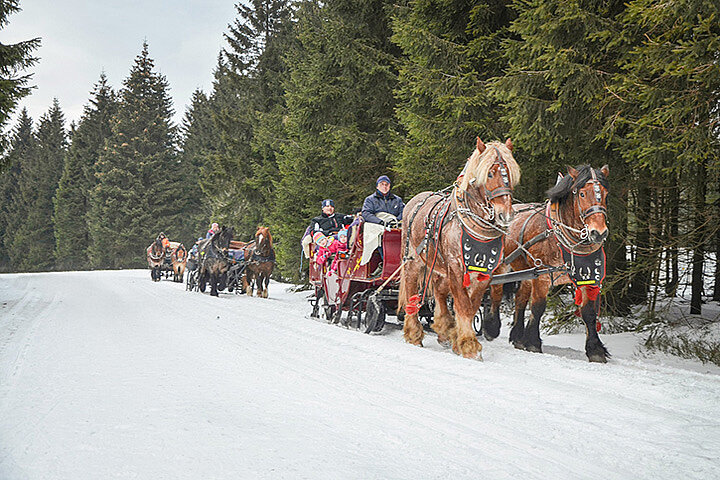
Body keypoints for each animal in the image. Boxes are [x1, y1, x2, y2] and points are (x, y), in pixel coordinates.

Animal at [396, 137, 520, 358]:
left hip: (439, 266)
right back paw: (413, 334)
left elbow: (471, 306)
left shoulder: (484, 273)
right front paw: (469, 345)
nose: (505, 215)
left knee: (439, 291)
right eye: (489, 173)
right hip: (414, 261)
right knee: (411, 291)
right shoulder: (455, 267)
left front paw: (459, 339)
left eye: (510, 175)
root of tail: (413, 202)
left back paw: (445, 329)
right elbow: (462, 304)